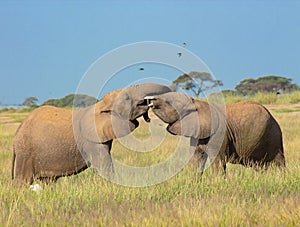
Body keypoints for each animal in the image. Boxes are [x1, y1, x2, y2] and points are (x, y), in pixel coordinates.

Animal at [12, 82, 171, 184]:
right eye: (126, 98)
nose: (150, 103)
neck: (100, 105)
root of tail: (17, 132)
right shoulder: (91, 140)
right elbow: (103, 166)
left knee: (48, 181)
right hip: (26, 152)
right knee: (22, 181)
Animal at [146, 92, 286, 176]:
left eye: (169, 102)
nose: (150, 99)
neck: (197, 102)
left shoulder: (220, 134)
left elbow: (217, 160)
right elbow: (195, 158)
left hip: (273, 136)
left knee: (278, 162)